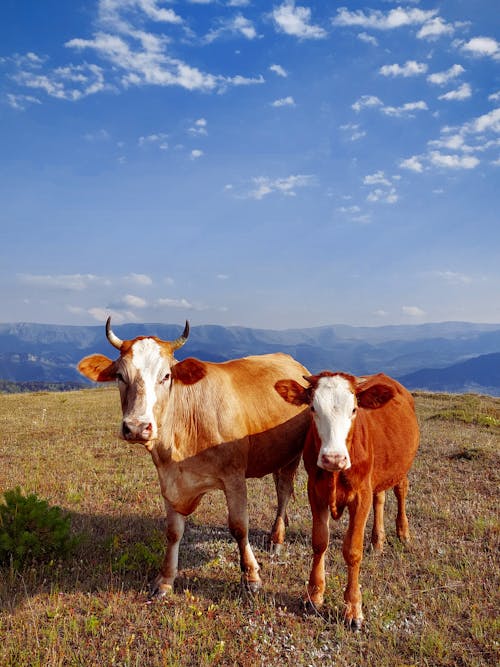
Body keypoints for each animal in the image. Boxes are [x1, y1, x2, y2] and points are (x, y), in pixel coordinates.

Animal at [76, 318, 310, 596]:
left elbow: (239, 526)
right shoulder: (168, 480)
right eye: (120, 376)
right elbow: (173, 531)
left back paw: (276, 539)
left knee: (283, 491)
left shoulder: (234, 477)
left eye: (166, 376)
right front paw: (165, 580)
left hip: (292, 454)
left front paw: (251, 576)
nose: (137, 427)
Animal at [276, 374, 420, 628]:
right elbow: (319, 542)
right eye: (313, 408)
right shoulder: (315, 492)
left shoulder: (360, 495)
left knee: (401, 490)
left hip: (401, 466)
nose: (333, 458)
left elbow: (352, 550)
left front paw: (353, 608)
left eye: (353, 410)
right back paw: (377, 541)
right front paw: (314, 595)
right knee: (380, 497)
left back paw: (403, 533)